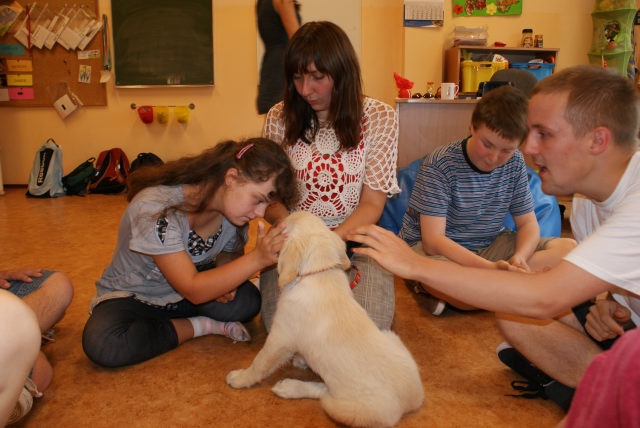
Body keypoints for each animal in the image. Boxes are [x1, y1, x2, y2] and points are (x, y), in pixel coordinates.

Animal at [226, 212, 424, 427]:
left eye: (284, 226)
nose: (279, 219)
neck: (318, 272)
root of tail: (414, 399)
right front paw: (301, 359)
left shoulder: (280, 337)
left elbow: (260, 362)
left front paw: (241, 378)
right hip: (390, 335)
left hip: (342, 407)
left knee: (323, 393)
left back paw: (289, 387)